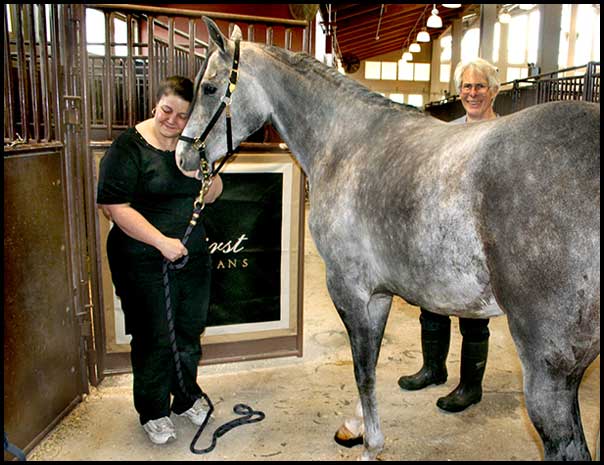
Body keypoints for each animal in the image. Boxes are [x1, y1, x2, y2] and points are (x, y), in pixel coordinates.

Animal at [176, 17, 600, 456]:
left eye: (209, 88)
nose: (183, 156)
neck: (346, 144)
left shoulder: (347, 289)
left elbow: (362, 368)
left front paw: (371, 446)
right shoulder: (378, 294)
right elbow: (372, 359)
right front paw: (356, 426)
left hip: (548, 367)